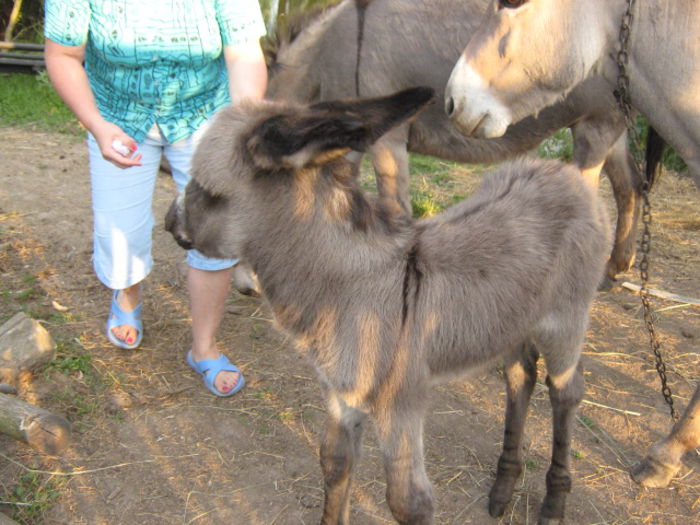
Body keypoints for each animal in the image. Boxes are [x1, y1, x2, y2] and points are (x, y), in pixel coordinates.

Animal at [167, 88, 608, 520]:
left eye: (206, 189)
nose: (171, 224)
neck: (348, 289)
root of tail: (562, 172)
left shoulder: (401, 405)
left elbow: (408, 503)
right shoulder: (341, 394)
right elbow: (334, 462)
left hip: (566, 323)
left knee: (566, 391)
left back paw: (553, 503)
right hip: (515, 322)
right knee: (520, 378)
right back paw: (503, 488)